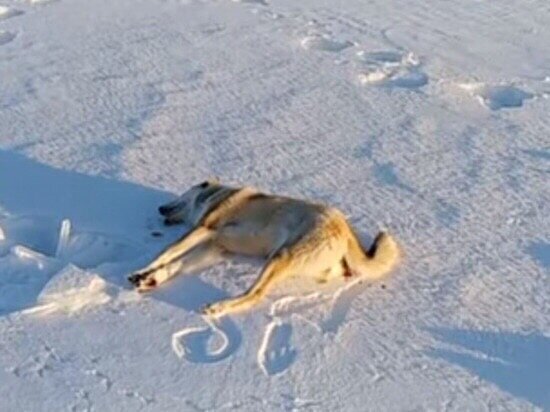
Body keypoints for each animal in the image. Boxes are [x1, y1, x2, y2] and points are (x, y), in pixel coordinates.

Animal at [129, 179, 402, 318]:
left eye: (180, 195)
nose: (160, 209)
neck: (217, 195)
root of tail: (346, 231)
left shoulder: (205, 229)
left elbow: (167, 252)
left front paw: (142, 272)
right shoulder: (213, 247)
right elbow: (176, 263)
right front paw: (151, 279)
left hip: (281, 256)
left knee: (255, 295)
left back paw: (217, 308)